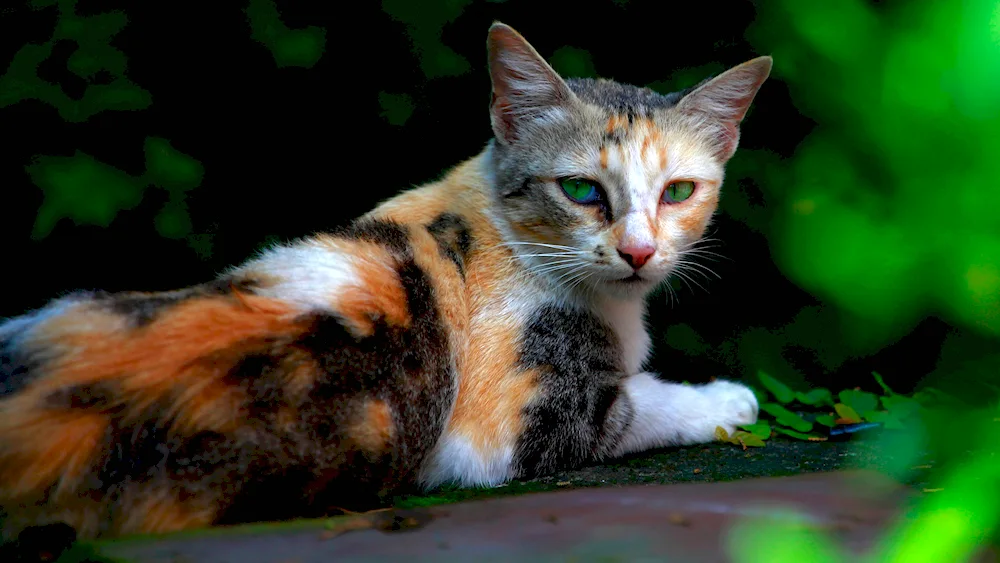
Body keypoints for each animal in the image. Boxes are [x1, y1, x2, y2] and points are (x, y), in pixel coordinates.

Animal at [0, 22, 772, 540]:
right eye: (581, 189)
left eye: (678, 191)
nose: (639, 251)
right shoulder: (505, 429)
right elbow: (639, 404)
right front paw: (727, 398)